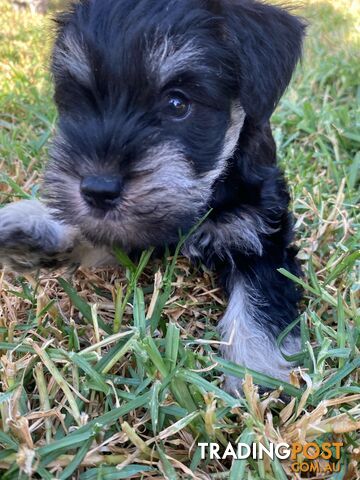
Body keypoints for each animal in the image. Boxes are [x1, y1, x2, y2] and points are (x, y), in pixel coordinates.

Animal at [0, 0, 306, 394]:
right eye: (80, 100)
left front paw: (257, 380)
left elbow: (259, 304)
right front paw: (33, 229)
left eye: (177, 104)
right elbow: (98, 233)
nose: (97, 189)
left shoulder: (262, 238)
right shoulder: (128, 227)